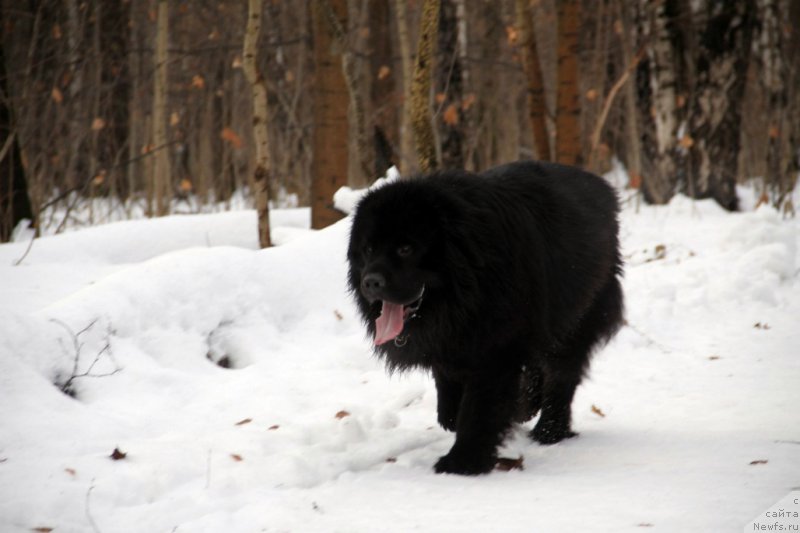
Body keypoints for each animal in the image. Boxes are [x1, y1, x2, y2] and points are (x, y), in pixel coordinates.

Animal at [346, 161, 620, 474]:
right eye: (368, 249)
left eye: (406, 249)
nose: (371, 282)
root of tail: (603, 188)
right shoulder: (451, 339)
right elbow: (449, 396)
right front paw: (455, 418)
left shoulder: (496, 349)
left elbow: (480, 408)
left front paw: (462, 462)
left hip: (579, 316)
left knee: (562, 375)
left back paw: (550, 430)